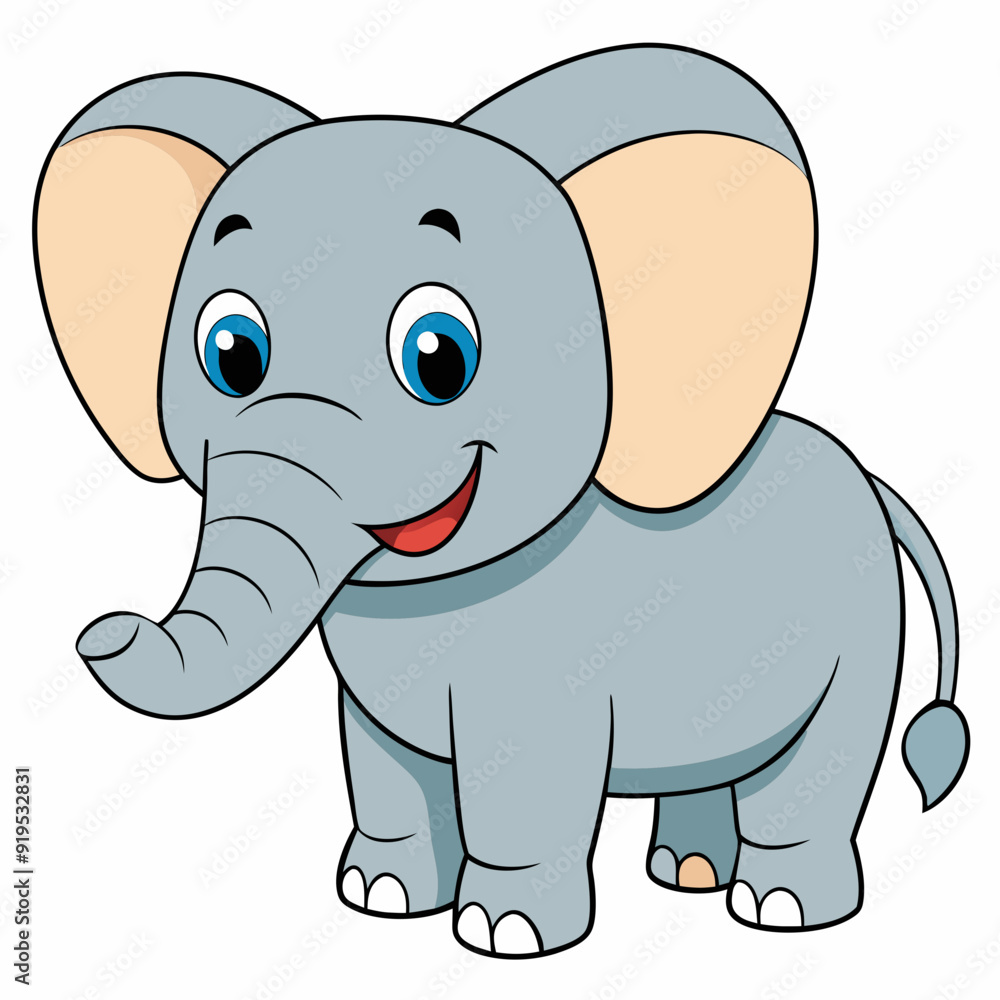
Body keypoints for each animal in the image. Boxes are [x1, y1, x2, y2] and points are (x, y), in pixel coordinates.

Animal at [35, 44, 969, 958]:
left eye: (439, 357)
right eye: (230, 353)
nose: (102, 630)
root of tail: (872, 479)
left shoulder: (547, 666)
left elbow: (523, 779)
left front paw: (503, 933)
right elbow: (382, 763)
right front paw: (380, 898)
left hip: (862, 631)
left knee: (816, 768)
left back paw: (778, 907)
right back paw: (688, 874)